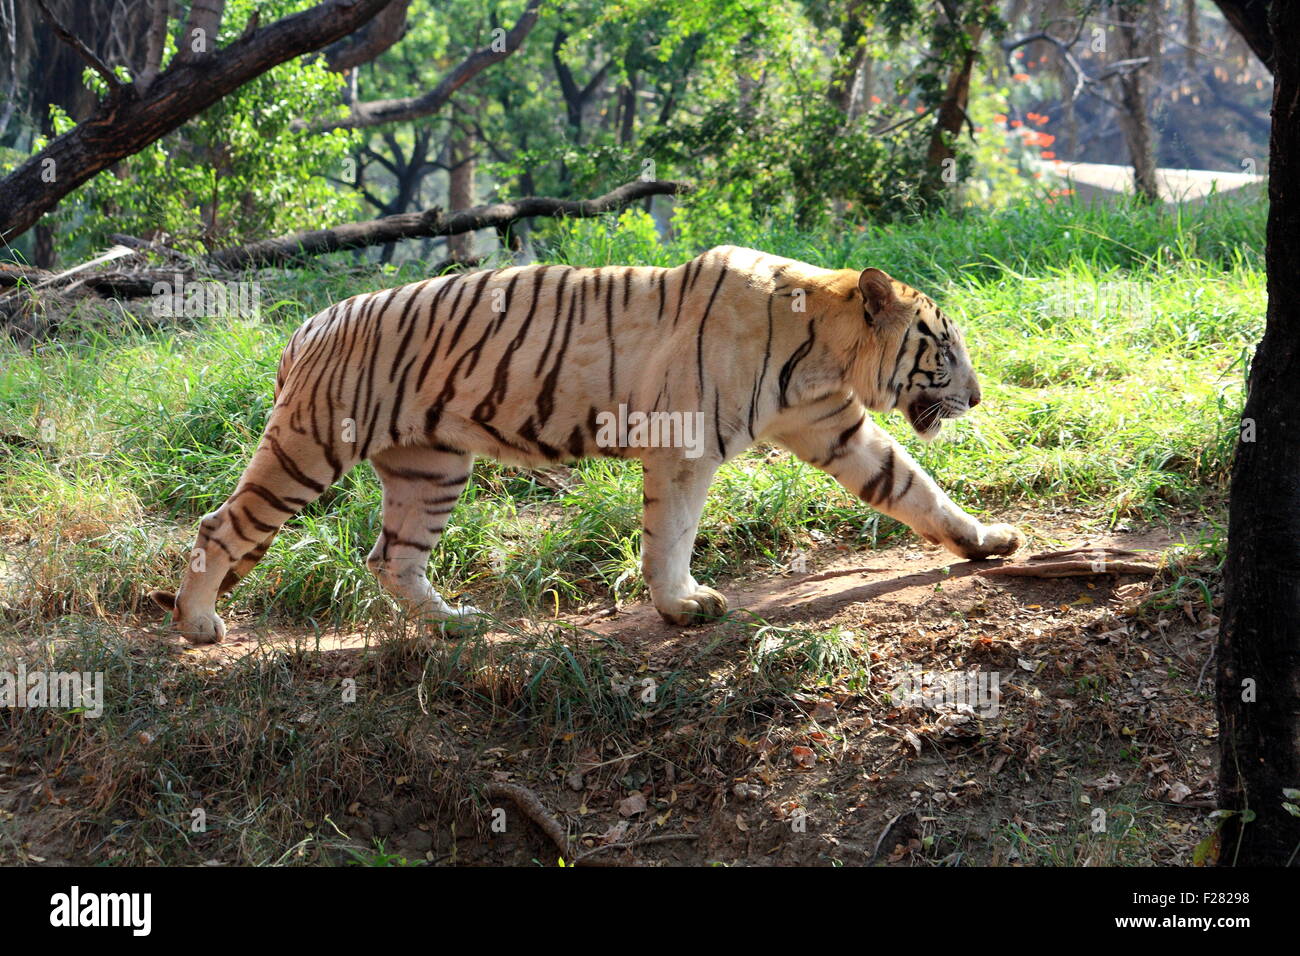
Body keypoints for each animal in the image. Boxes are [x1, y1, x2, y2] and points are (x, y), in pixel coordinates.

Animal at [149, 245, 1024, 644]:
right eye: (945, 348)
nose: (980, 396)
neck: (825, 353)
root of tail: (307, 323)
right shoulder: (683, 448)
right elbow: (669, 535)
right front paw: (682, 605)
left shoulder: (835, 428)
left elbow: (915, 487)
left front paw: (988, 543)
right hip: (308, 448)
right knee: (220, 526)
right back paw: (198, 623)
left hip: (431, 467)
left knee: (391, 557)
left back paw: (455, 624)